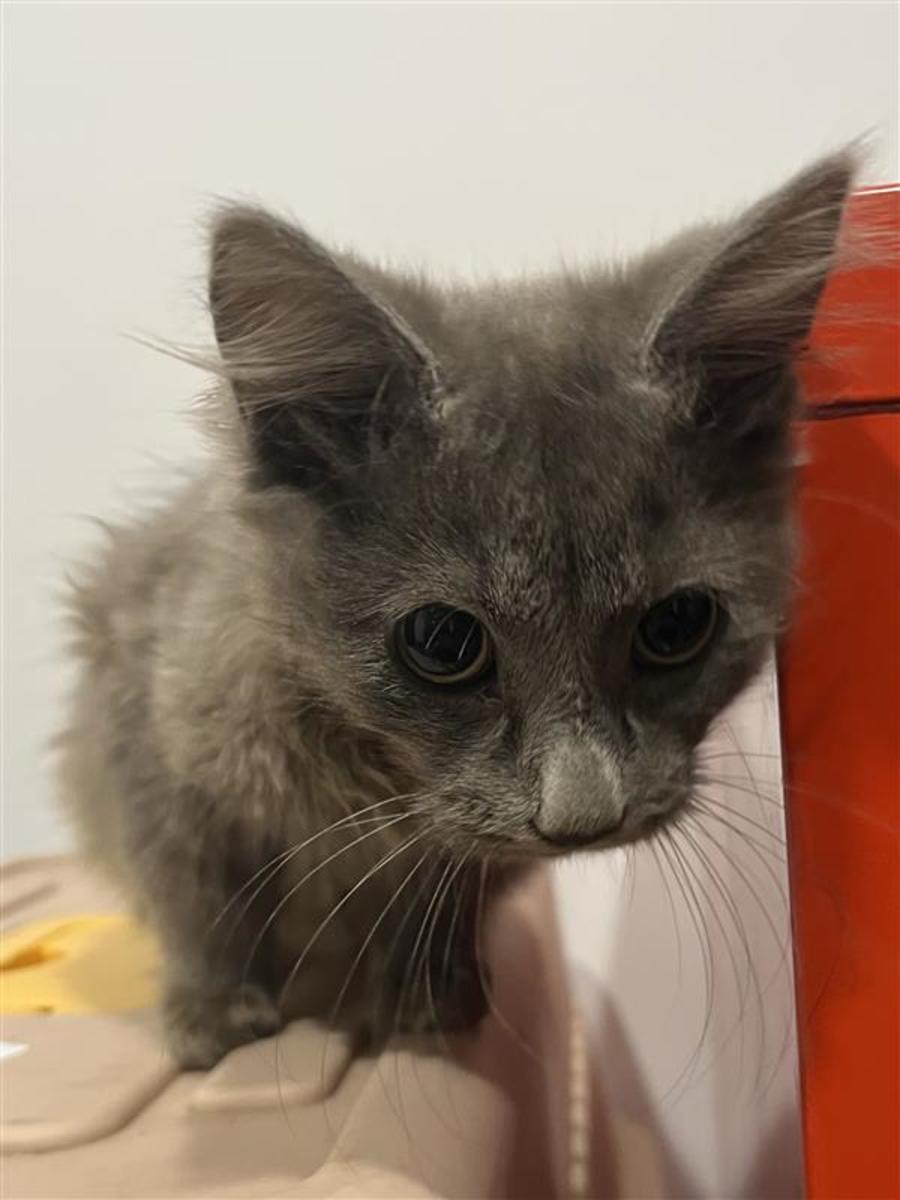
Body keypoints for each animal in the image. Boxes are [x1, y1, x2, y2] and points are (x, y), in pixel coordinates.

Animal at [57, 151, 855, 1068]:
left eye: (677, 627)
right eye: (442, 643)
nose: (583, 819)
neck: (374, 777)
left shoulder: (469, 854)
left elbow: (436, 898)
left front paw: (420, 996)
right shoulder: (151, 731)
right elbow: (199, 898)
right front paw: (215, 1017)